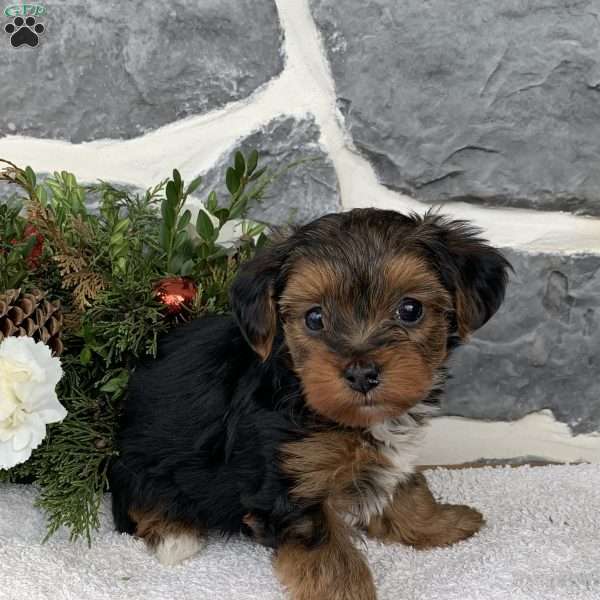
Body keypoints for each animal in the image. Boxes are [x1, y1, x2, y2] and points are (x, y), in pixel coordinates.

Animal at [110, 207, 508, 600]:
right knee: (139, 501)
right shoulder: (291, 488)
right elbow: (331, 560)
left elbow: (408, 489)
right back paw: (174, 533)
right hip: (142, 464)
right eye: (314, 318)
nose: (362, 373)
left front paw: (442, 522)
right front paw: (349, 594)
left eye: (410, 309)